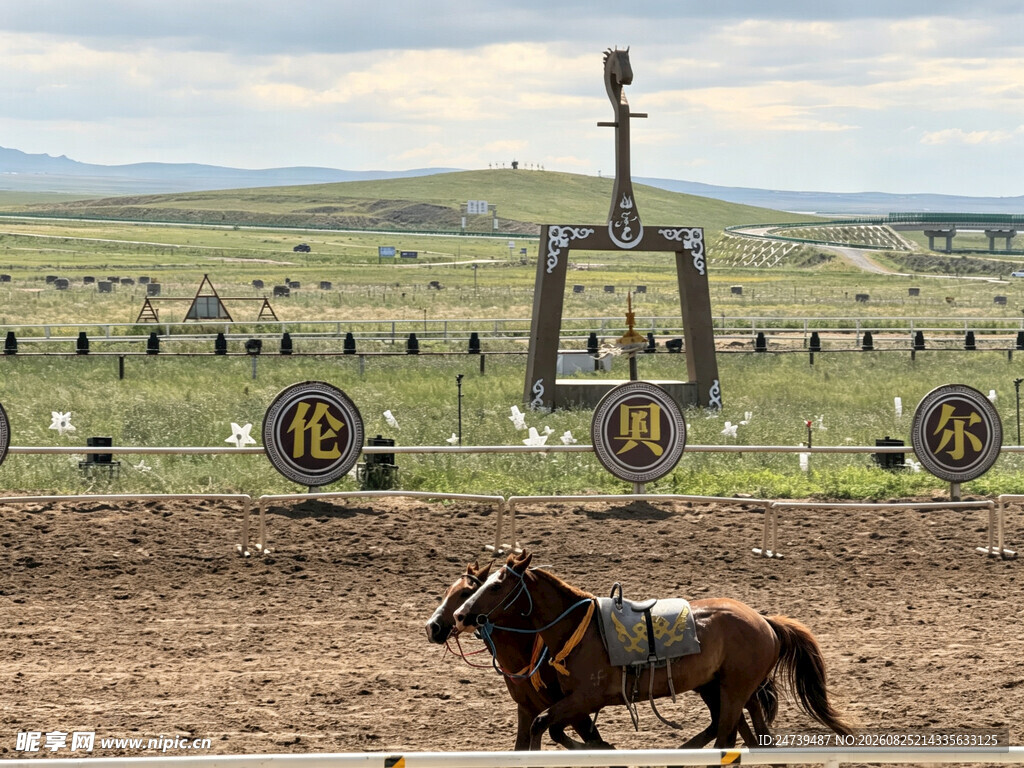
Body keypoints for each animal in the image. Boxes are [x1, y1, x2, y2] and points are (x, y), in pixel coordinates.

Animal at [454, 551, 854, 750]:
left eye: (496, 586)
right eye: (480, 585)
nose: (461, 615)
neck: (578, 629)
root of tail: (764, 621)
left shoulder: (585, 698)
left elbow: (542, 726)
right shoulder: (570, 703)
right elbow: (554, 729)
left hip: (733, 689)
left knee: (727, 734)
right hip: (721, 688)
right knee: (743, 733)